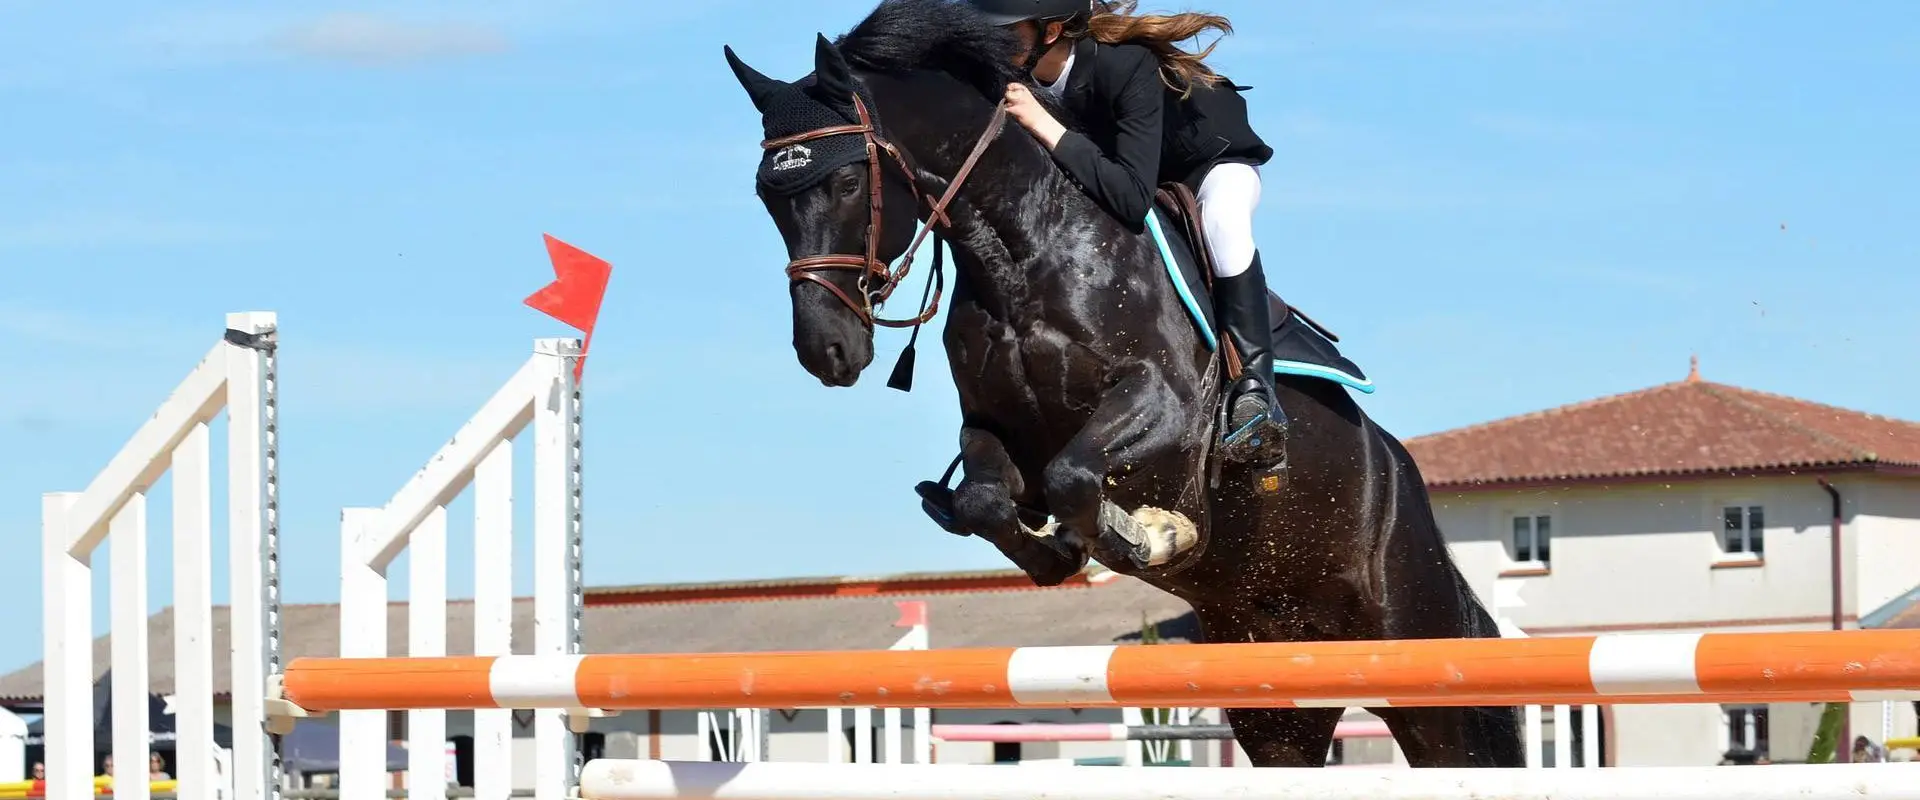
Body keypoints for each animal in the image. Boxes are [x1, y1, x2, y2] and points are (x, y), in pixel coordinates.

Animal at [723, 0, 1524, 768]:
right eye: (766, 196)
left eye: (847, 180)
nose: (825, 349)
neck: (1022, 251)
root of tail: (1403, 478)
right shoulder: (993, 429)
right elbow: (988, 499)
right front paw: (1057, 552)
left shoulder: (1165, 408)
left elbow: (1078, 475)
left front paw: (1154, 534)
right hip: (1275, 698)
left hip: (1422, 667)